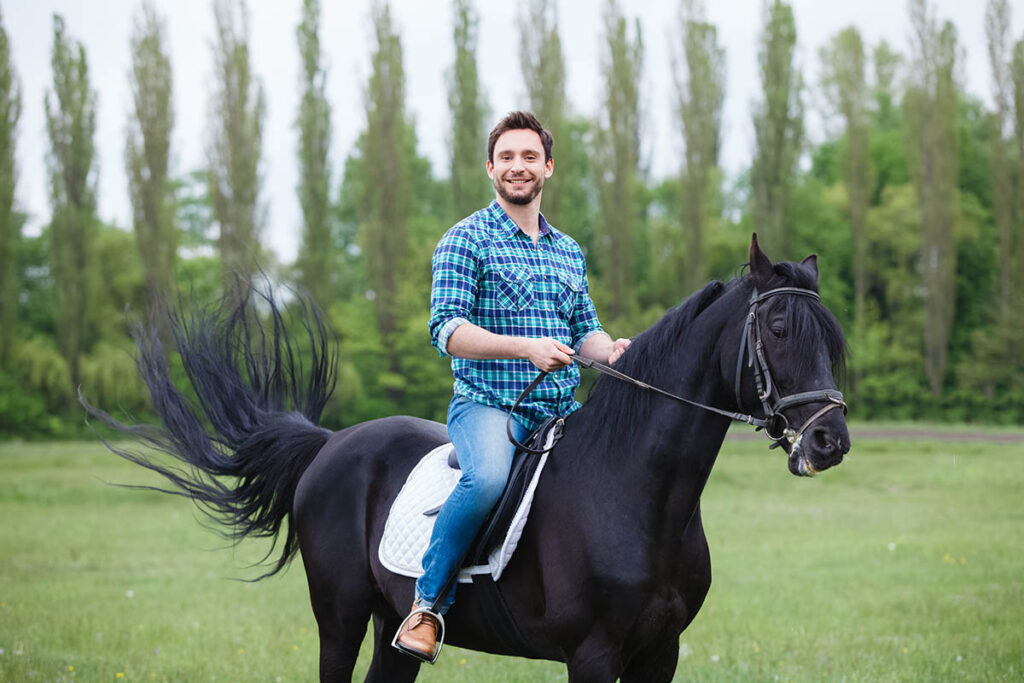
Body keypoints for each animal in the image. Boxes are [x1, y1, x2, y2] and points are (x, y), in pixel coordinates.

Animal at [83, 232, 847, 679]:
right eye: (780, 328)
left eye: (831, 335)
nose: (830, 440)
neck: (634, 492)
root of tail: (331, 445)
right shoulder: (594, 653)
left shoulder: (660, 652)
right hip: (339, 616)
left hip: (388, 626)